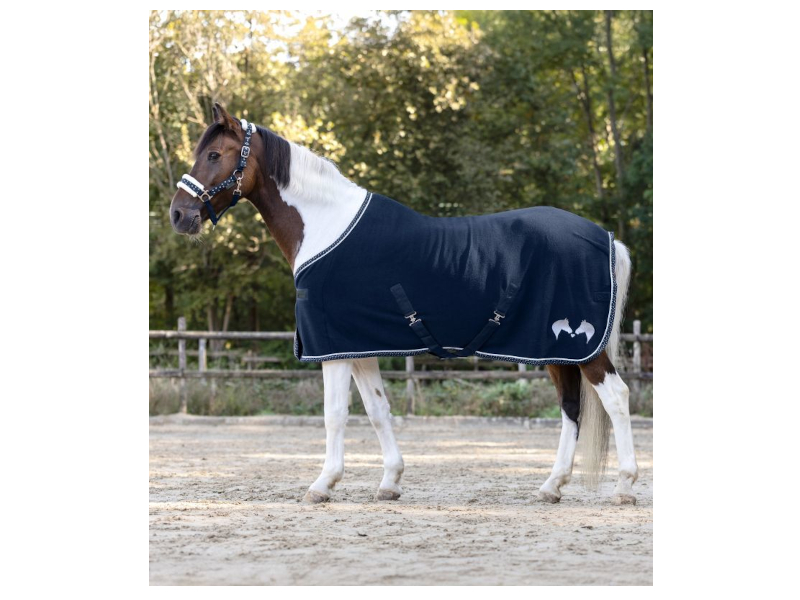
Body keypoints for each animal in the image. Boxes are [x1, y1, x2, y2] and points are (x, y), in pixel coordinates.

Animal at [169, 103, 638, 506]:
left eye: (214, 154)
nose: (178, 215)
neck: (324, 226)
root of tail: (608, 239)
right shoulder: (357, 345)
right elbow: (378, 410)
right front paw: (390, 482)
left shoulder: (331, 347)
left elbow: (334, 414)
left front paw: (322, 485)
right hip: (558, 350)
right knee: (572, 409)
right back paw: (551, 487)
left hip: (582, 347)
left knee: (616, 397)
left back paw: (625, 487)